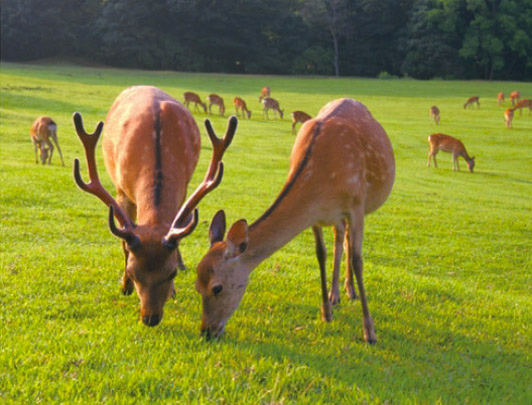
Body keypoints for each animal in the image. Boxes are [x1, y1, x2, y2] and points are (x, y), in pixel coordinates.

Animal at [73, 85, 237, 326]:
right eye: (133, 272)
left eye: (171, 274)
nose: (150, 318)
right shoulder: (121, 191)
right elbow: (124, 244)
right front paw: (125, 286)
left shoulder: (183, 189)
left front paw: (174, 289)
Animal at [195, 98, 394, 340]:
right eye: (196, 286)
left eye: (217, 287)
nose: (206, 331)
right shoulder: (316, 216)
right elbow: (320, 254)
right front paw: (325, 312)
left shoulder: (356, 205)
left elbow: (358, 260)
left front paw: (369, 332)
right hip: (337, 218)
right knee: (340, 239)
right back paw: (336, 295)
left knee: (348, 243)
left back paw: (350, 291)